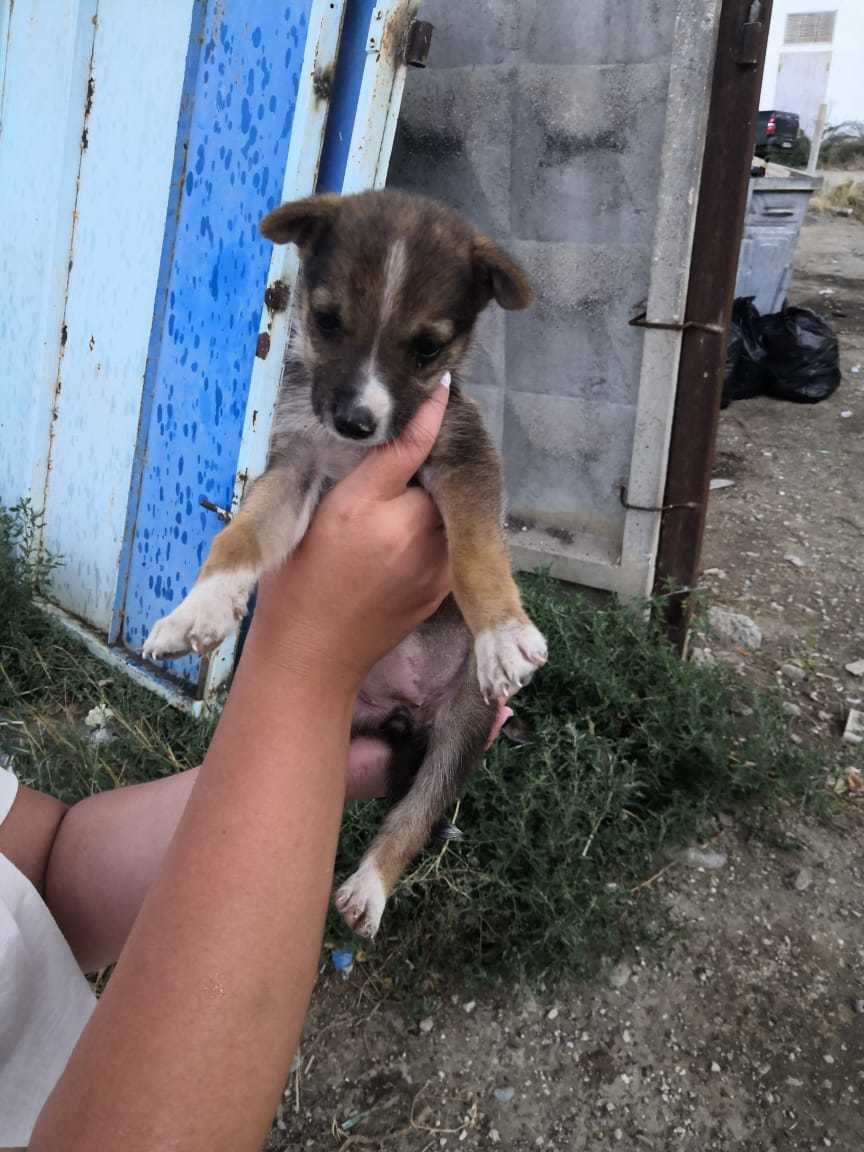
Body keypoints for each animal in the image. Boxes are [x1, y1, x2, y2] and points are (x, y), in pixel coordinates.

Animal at [142, 191, 548, 935]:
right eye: (327, 321)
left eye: (428, 347)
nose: (357, 422)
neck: (354, 452)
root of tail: (402, 710)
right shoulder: (295, 466)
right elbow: (238, 537)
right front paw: (198, 610)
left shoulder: (464, 457)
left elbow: (477, 549)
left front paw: (503, 634)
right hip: (344, 723)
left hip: (466, 724)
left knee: (418, 809)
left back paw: (370, 886)